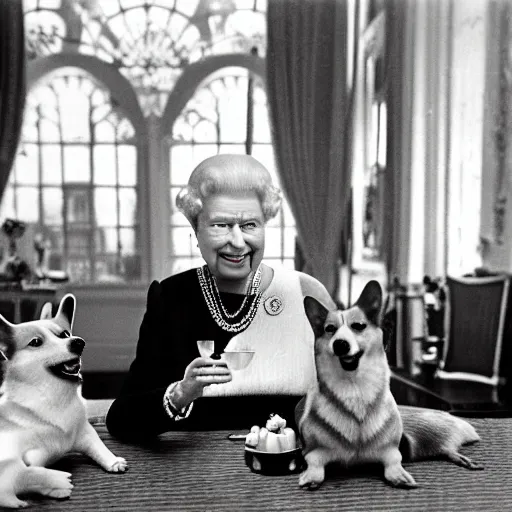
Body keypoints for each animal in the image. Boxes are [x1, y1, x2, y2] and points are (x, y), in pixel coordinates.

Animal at [0, 292, 127, 508]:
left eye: (65, 334)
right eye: (36, 342)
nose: (78, 342)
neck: (56, 396)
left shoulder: (84, 432)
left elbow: (99, 446)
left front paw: (112, 460)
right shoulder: (28, 456)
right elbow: (30, 472)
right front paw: (55, 486)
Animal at [298, 282, 482, 490]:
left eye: (358, 326)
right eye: (330, 329)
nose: (340, 344)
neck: (355, 389)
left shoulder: (391, 452)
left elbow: (394, 461)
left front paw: (399, 475)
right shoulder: (313, 452)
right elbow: (315, 462)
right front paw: (311, 477)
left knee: (445, 447)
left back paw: (462, 458)